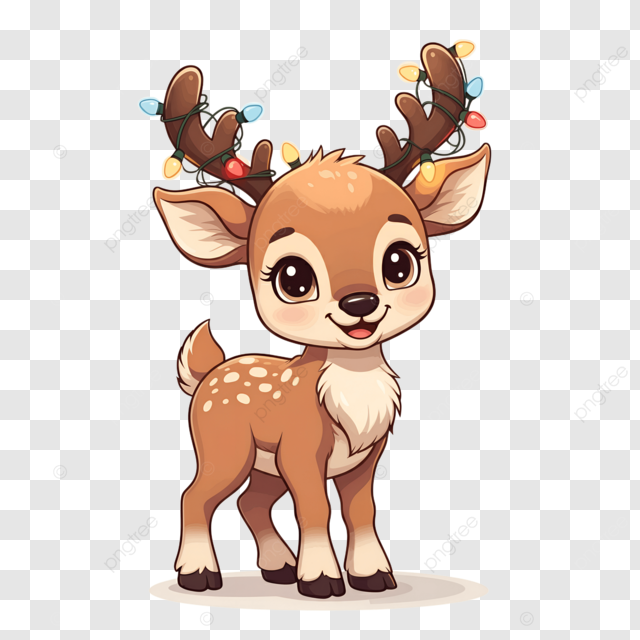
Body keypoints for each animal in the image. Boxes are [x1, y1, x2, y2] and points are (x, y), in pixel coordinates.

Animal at [151, 43, 491, 599]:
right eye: (293, 277)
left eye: (400, 262)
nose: (360, 303)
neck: (350, 394)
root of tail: (206, 375)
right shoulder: (300, 451)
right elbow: (315, 509)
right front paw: (322, 579)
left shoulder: (366, 456)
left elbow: (360, 510)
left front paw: (373, 575)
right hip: (226, 449)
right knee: (196, 496)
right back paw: (199, 573)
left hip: (261, 466)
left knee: (250, 501)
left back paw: (277, 567)